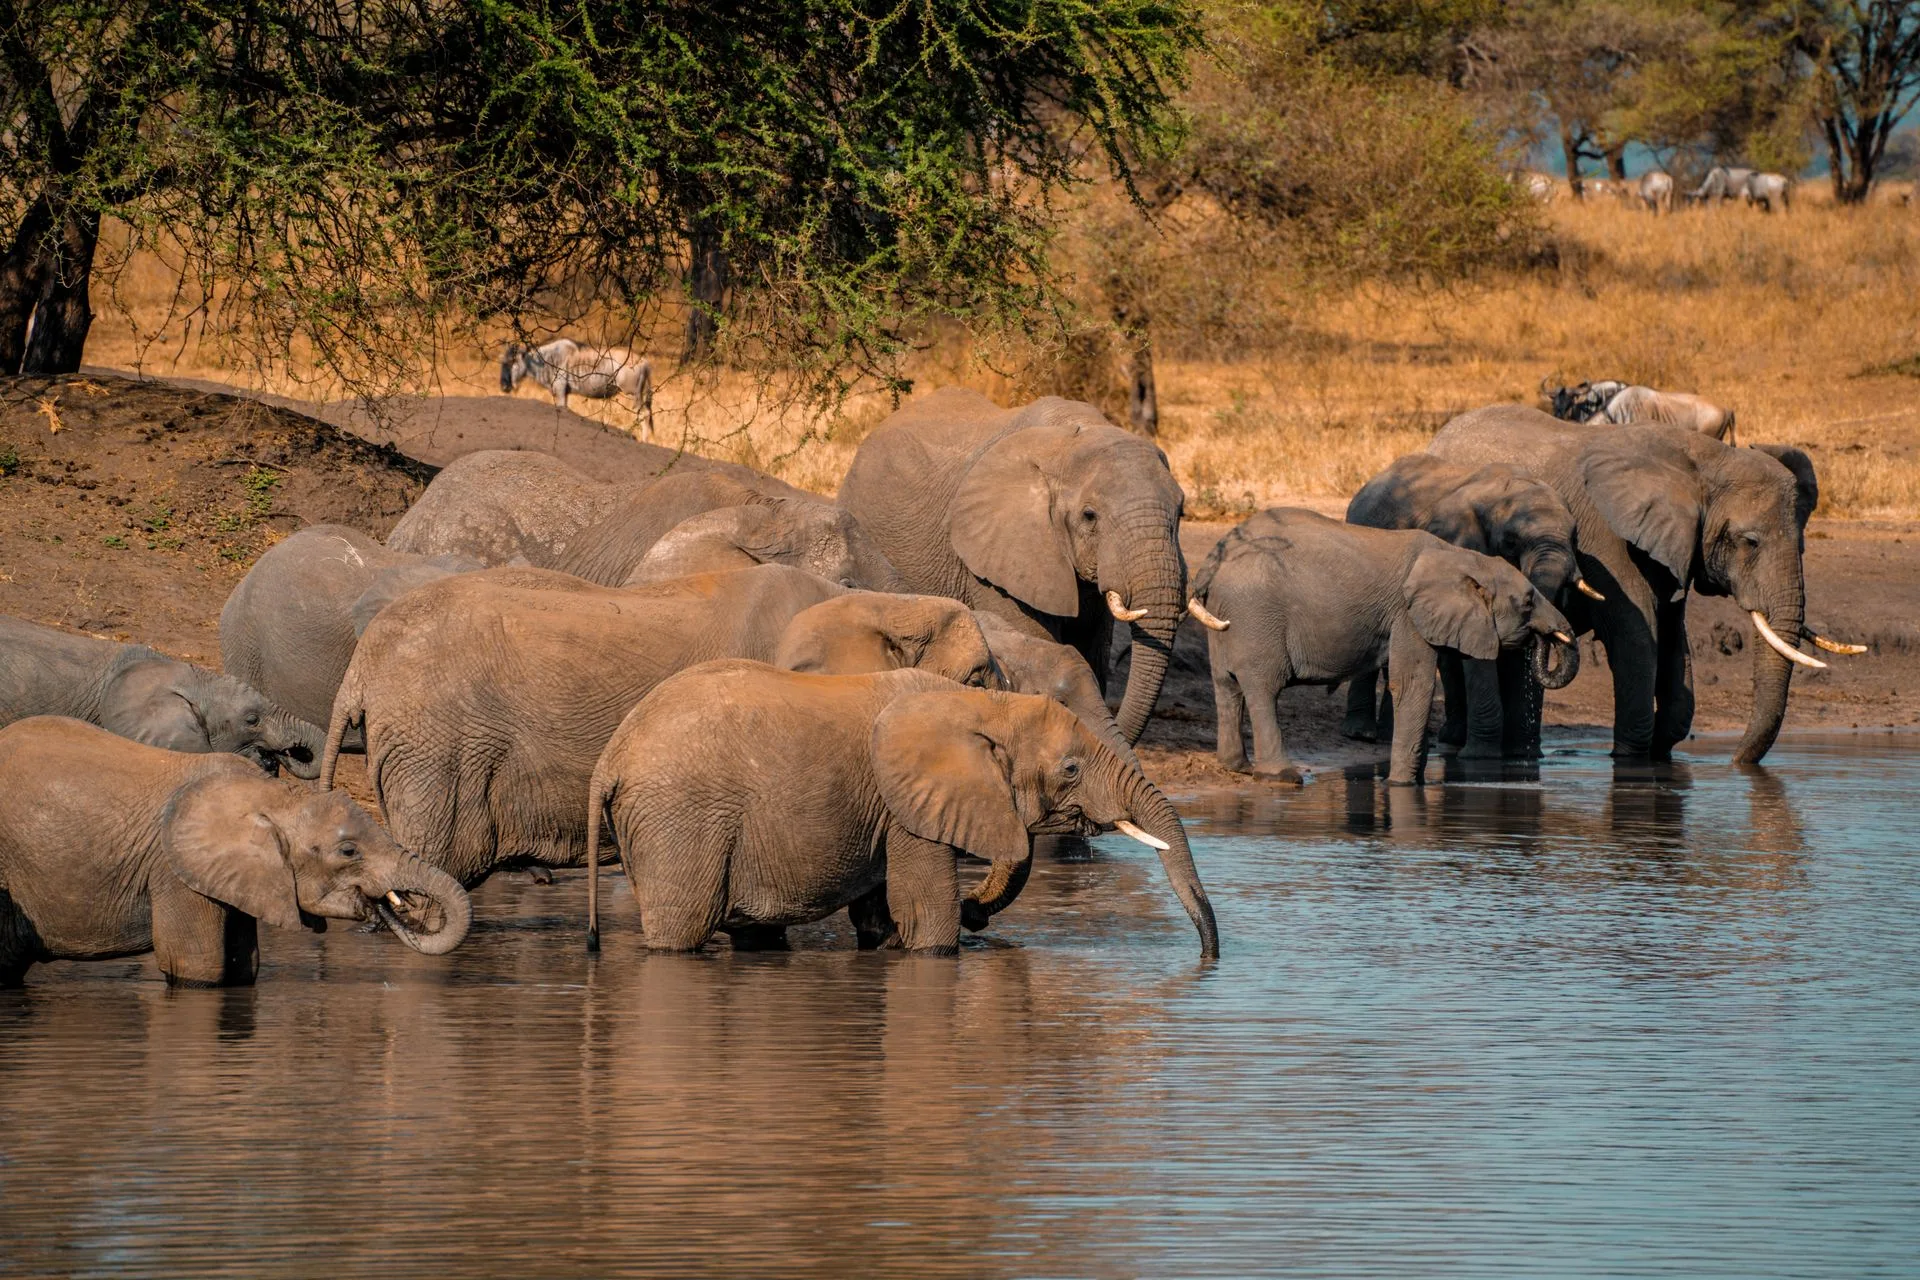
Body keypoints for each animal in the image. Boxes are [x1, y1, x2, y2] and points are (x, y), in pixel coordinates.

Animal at [0, 716, 470, 986]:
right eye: (349, 851)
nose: (383, 914)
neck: (275, 797)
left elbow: (245, 965)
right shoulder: (175, 872)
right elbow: (198, 967)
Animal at [584, 662, 1219, 956]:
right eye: (1071, 770)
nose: (1209, 959)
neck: (983, 702)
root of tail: (609, 758)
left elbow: (882, 917)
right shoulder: (909, 808)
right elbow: (928, 922)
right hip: (678, 819)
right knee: (682, 928)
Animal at [1184, 508, 1578, 785]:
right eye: (1528, 602)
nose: (1546, 637)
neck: (1460, 556)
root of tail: (1212, 562)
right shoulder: (1407, 615)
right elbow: (1413, 686)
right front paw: (1400, 786)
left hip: (1228, 617)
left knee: (1227, 686)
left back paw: (1236, 767)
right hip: (1255, 614)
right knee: (1263, 688)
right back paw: (1283, 777)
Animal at [1341, 454, 1594, 756]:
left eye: (1575, 537)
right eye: (1511, 541)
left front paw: (1522, 756)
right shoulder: (1461, 544)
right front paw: (1482, 757)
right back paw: (1362, 734)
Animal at [1427, 407, 1859, 763]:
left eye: (1801, 545)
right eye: (1750, 542)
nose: (1736, 762)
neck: (1705, 462)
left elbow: (1670, 637)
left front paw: (1659, 752)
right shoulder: (1605, 539)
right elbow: (1636, 636)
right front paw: (1629, 757)